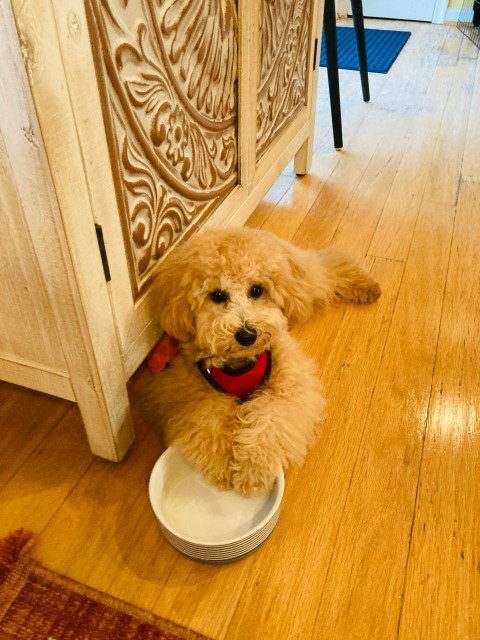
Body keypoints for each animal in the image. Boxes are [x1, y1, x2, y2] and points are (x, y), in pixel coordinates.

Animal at [144, 228, 380, 498]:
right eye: (217, 295)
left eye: (257, 290)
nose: (247, 335)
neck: (240, 362)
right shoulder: (190, 393)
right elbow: (209, 422)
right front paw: (222, 464)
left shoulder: (287, 385)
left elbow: (269, 424)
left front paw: (252, 471)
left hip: (305, 283)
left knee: (328, 264)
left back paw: (365, 285)